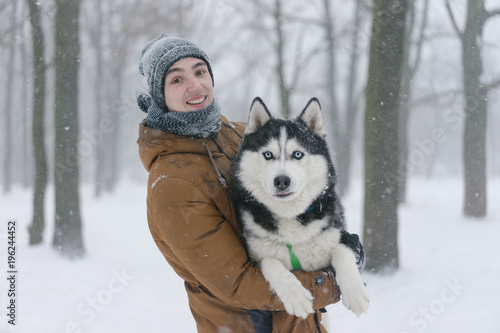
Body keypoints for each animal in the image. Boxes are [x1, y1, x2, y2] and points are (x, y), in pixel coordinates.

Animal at [232, 97, 370, 318]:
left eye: (297, 154)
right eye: (268, 154)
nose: (281, 181)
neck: (289, 216)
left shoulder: (337, 236)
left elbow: (343, 250)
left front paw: (356, 293)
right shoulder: (254, 259)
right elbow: (270, 262)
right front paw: (295, 296)